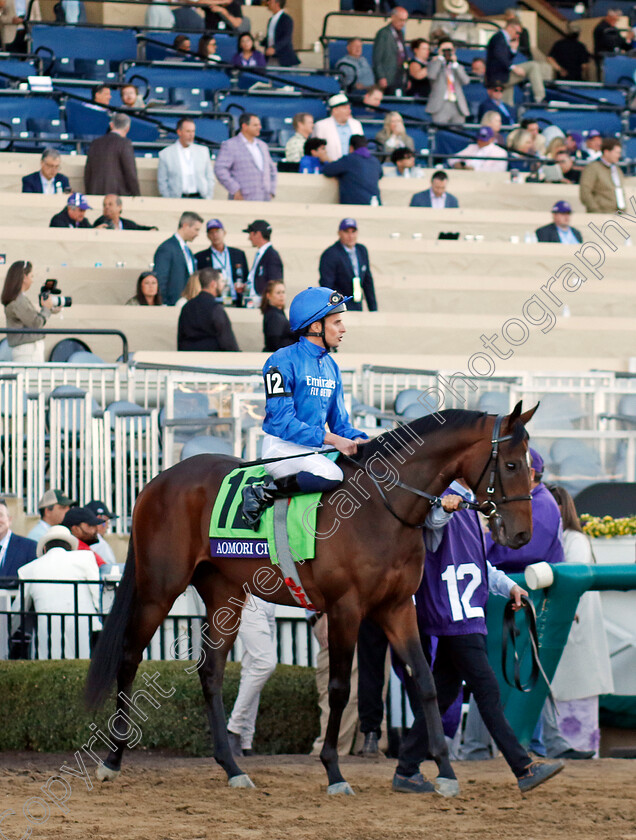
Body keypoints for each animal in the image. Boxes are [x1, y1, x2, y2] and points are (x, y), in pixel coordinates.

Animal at [85, 404, 536, 796]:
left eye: (529, 465)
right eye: (512, 464)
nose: (520, 535)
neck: (382, 507)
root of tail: (156, 481)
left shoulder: (397, 608)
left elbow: (425, 683)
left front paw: (444, 772)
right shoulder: (344, 609)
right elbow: (338, 688)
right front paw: (334, 771)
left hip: (224, 594)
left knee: (210, 672)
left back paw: (232, 768)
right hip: (159, 588)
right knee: (129, 658)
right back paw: (112, 760)